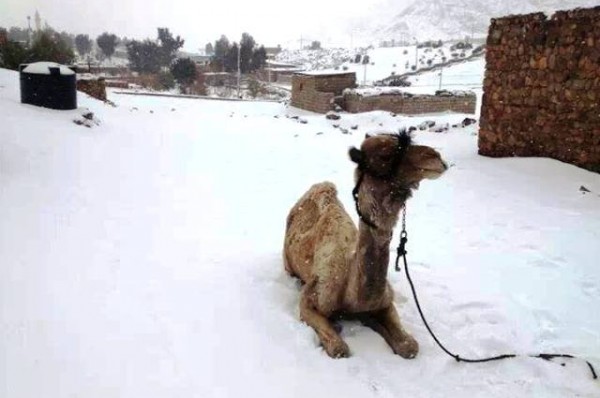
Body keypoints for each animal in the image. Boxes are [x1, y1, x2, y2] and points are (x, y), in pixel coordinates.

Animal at [284, 132, 448, 360]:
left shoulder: (385, 302)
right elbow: (339, 348)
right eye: (384, 155)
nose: (436, 157)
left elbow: (410, 346)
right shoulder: (310, 299)